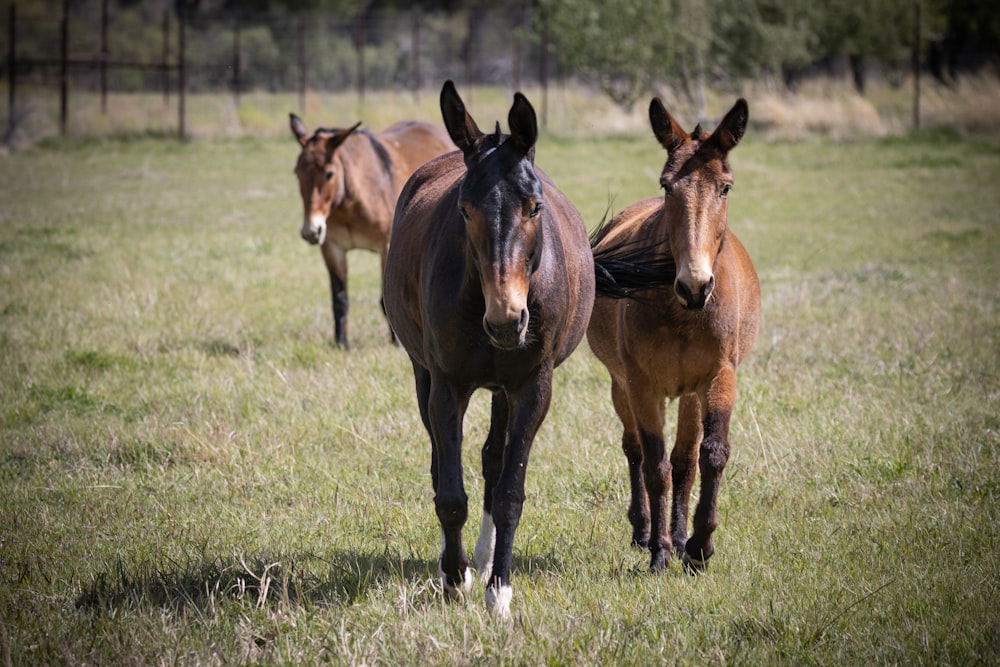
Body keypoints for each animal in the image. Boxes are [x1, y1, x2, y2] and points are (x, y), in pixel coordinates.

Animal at [290, 113, 454, 350]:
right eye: (297, 173)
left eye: (329, 174)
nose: (311, 230)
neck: (349, 203)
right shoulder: (332, 248)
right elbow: (340, 299)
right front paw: (341, 344)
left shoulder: (386, 246)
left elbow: (386, 299)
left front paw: (397, 343)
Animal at [588, 98, 760, 576]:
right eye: (667, 186)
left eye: (725, 188)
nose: (695, 286)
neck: (683, 313)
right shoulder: (642, 385)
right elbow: (654, 464)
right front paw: (660, 552)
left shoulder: (719, 377)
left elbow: (709, 454)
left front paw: (699, 545)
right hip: (622, 385)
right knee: (634, 450)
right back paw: (646, 531)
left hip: (688, 394)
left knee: (686, 460)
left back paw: (682, 538)